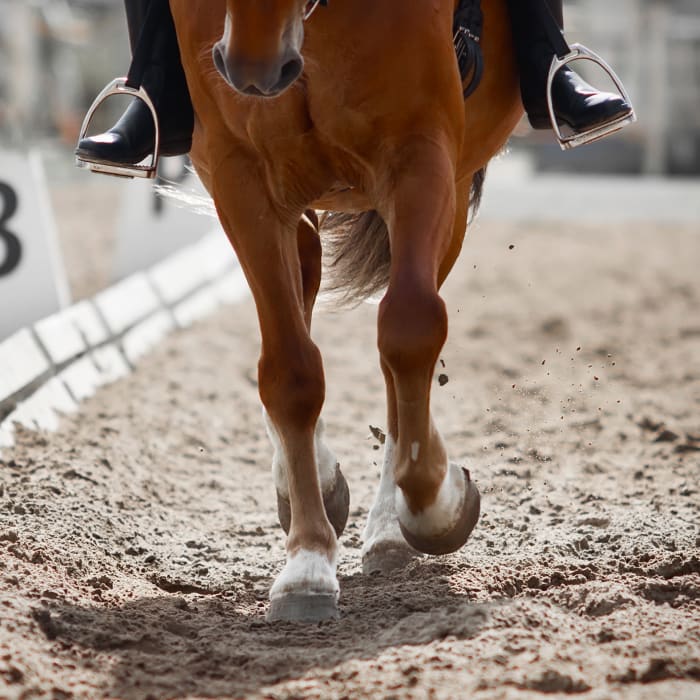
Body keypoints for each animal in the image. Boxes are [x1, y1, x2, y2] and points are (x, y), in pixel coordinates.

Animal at [168, 0, 520, 624]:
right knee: (304, 289)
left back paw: (388, 528)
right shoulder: (239, 176)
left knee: (396, 347)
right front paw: (307, 563)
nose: (253, 70)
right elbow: (289, 371)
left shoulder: (420, 154)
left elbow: (409, 327)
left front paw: (438, 505)